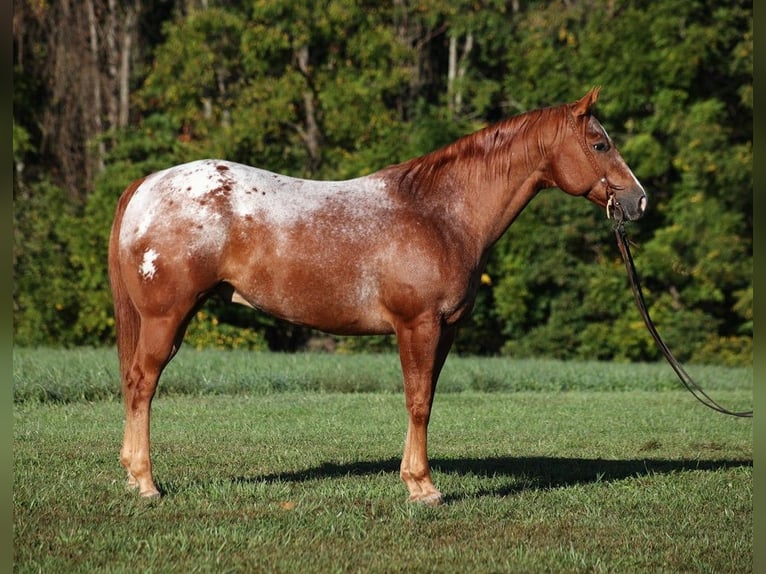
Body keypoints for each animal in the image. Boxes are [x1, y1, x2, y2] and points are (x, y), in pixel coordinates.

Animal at [108, 88, 648, 506]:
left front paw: (416, 479)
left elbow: (425, 398)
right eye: (599, 143)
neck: (440, 213)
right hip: (166, 317)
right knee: (141, 384)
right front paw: (423, 488)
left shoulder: (445, 330)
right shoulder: (418, 325)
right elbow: (418, 402)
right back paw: (146, 482)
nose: (638, 200)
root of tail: (147, 184)